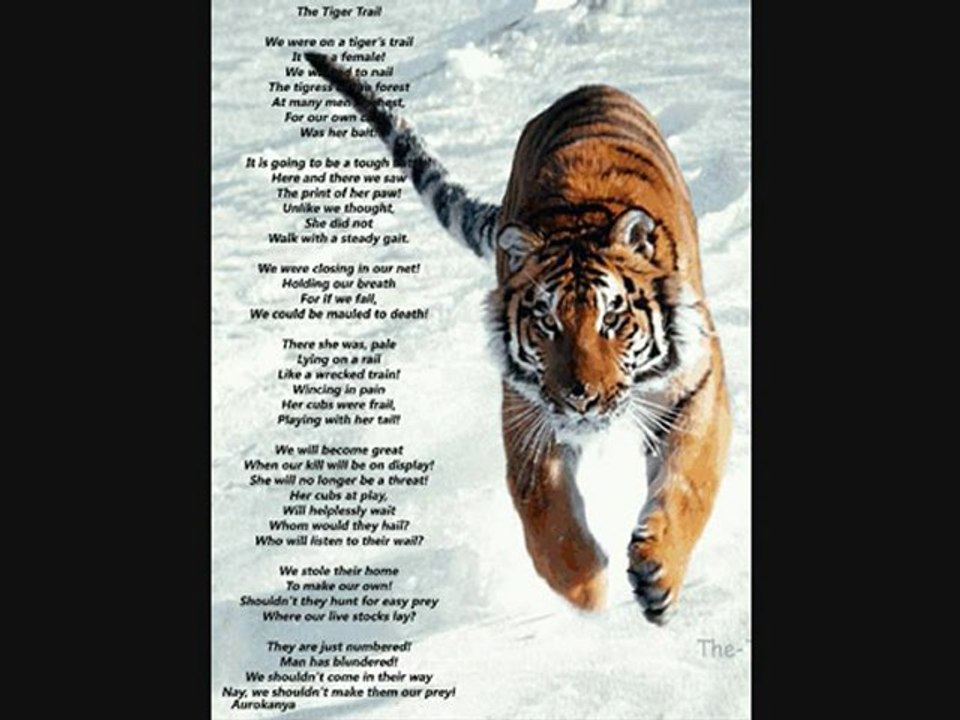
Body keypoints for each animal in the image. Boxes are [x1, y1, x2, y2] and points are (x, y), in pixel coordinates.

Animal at [303, 52, 731, 625]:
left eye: (612, 320)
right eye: (547, 322)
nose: (581, 398)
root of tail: (585, 87)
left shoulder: (696, 383)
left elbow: (689, 483)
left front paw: (657, 575)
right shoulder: (526, 407)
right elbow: (542, 509)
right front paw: (586, 589)